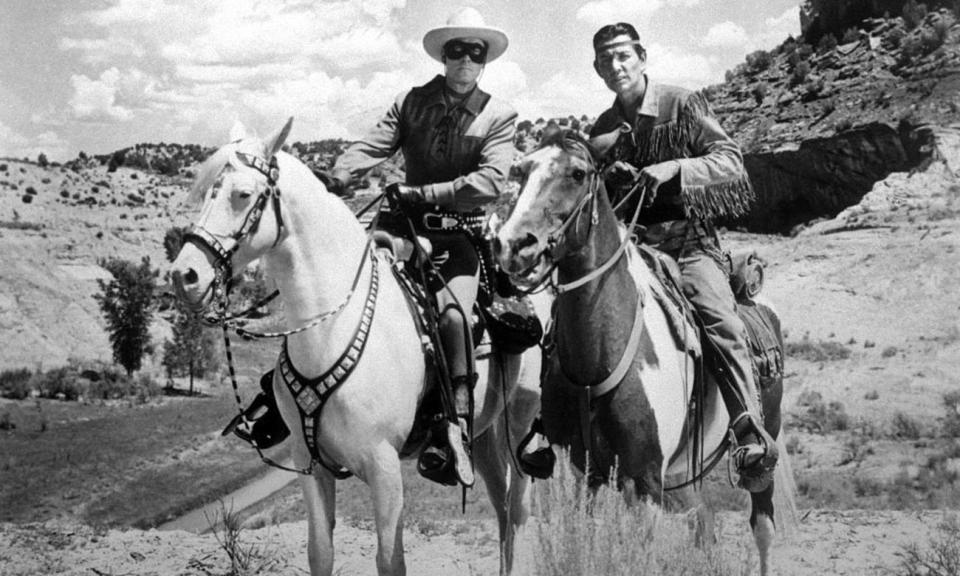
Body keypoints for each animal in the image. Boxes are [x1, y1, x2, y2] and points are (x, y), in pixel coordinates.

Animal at [169, 119, 544, 572]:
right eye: (207, 191)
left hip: (521, 418)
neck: (330, 330)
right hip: (487, 432)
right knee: (502, 508)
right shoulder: (309, 464)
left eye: (242, 194)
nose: (184, 275)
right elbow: (320, 553)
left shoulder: (384, 469)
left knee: (518, 509)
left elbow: (390, 561)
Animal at [496, 128, 796, 576]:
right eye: (522, 170)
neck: (602, 353)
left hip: (766, 437)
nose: (513, 244)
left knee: (763, 526)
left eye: (577, 173)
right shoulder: (578, 474)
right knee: (703, 522)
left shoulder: (645, 481)